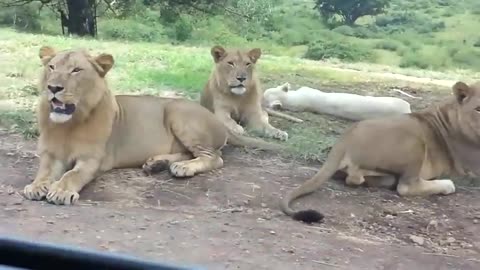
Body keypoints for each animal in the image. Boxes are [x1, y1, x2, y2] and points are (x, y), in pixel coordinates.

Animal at [22, 47, 284, 207]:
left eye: (76, 70)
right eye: (52, 68)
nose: (53, 88)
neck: (69, 124)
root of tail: (219, 120)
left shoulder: (92, 160)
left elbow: (72, 174)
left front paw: (61, 191)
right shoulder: (50, 154)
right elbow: (44, 172)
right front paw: (36, 186)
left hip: (177, 112)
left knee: (214, 157)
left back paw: (182, 168)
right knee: (190, 153)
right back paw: (158, 163)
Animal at [280, 80, 480, 224]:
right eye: (478, 108)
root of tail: (345, 139)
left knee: (357, 179)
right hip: (415, 142)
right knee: (406, 186)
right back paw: (446, 185)